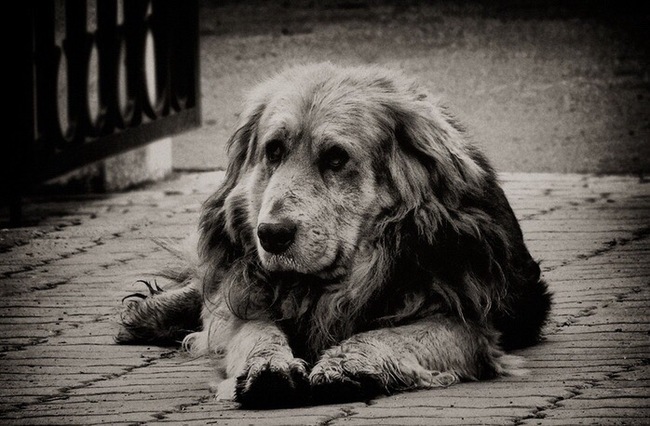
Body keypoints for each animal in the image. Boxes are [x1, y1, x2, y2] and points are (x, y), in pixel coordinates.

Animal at [115, 61, 548, 408]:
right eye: (273, 151)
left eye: (336, 158)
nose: (271, 235)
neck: (331, 286)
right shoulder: (247, 301)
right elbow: (251, 328)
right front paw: (265, 367)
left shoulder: (470, 323)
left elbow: (390, 335)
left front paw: (347, 365)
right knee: (209, 286)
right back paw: (148, 312)